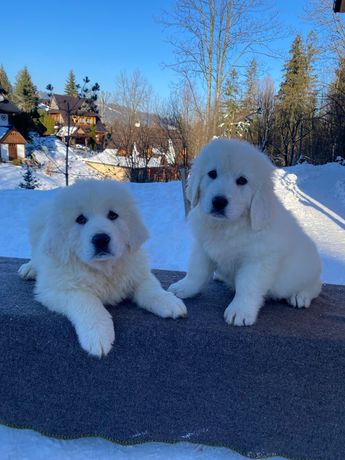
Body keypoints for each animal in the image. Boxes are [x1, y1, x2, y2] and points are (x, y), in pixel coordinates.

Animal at [18, 179, 185, 356]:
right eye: (80, 219)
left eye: (113, 215)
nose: (101, 239)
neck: (103, 269)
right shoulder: (56, 289)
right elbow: (86, 301)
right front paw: (98, 335)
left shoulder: (138, 272)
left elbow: (151, 288)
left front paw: (169, 301)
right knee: (36, 256)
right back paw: (29, 269)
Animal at [168, 138, 322, 326]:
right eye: (212, 173)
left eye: (242, 181)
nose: (219, 202)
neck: (227, 226)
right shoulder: (202, 247)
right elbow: (196, 271)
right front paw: (184, 287)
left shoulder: (258, 260)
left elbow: (247, 286)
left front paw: (240, 311)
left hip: (308, 271)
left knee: (316, 286)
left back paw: (301, 296)